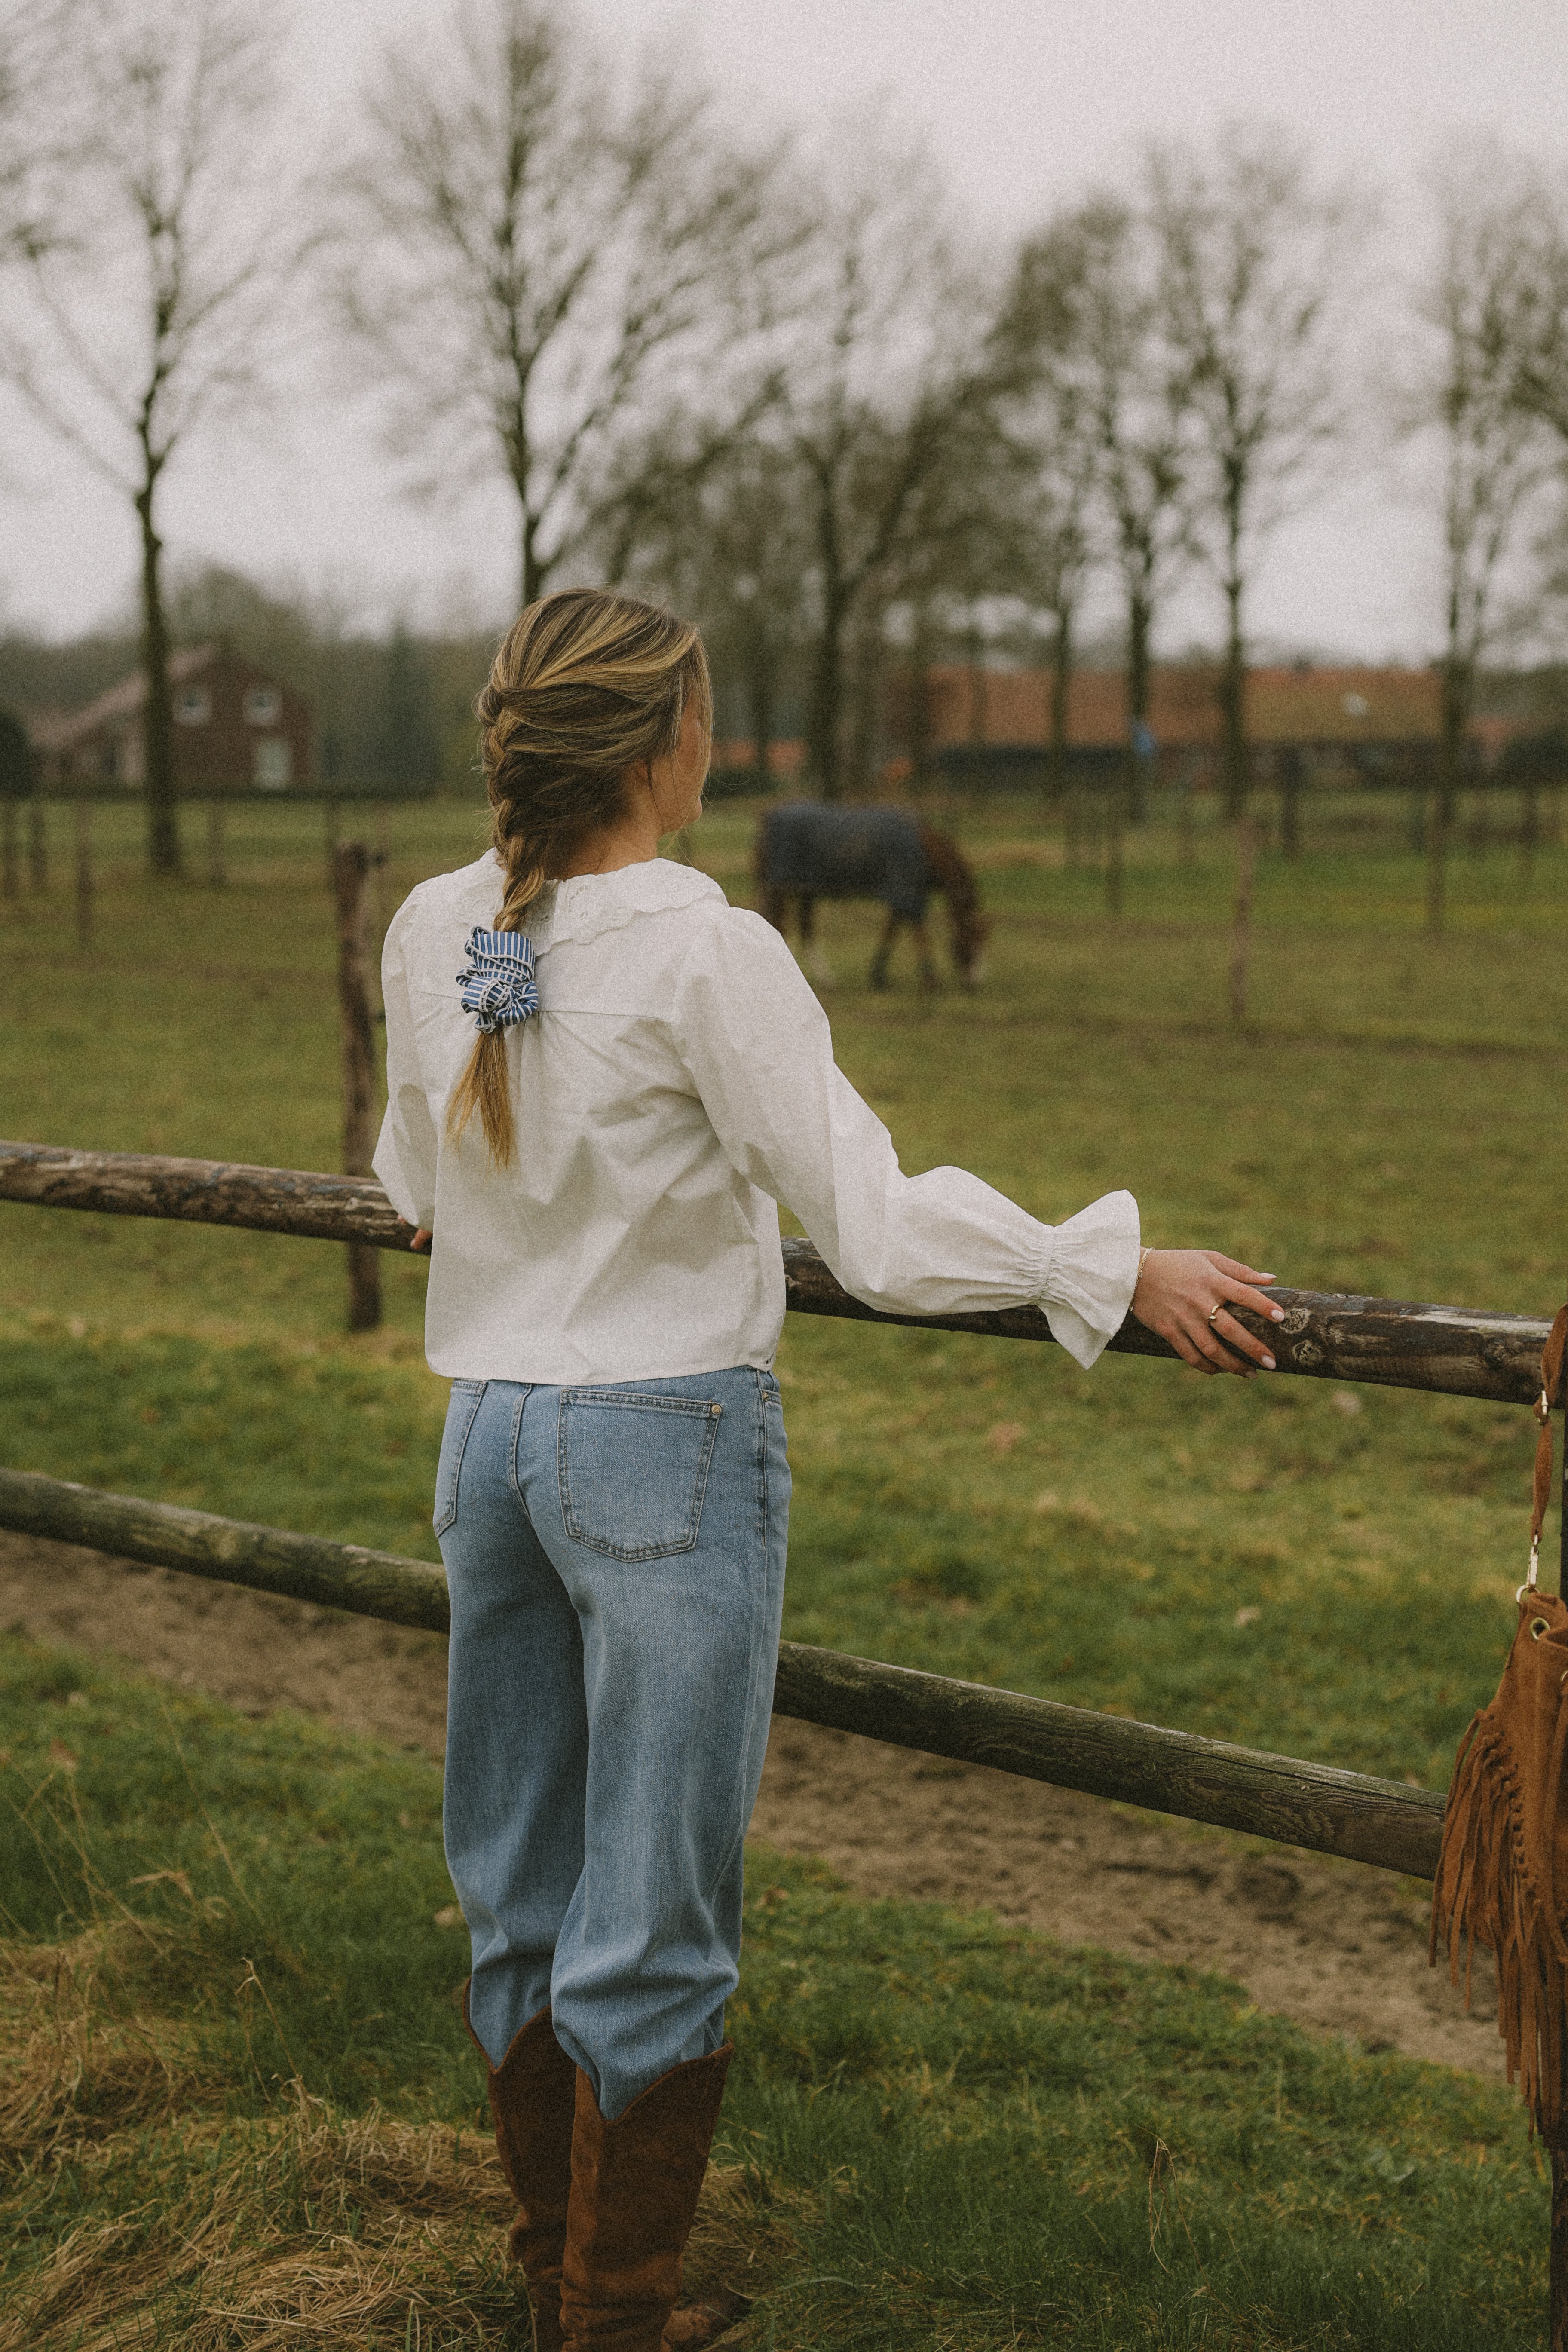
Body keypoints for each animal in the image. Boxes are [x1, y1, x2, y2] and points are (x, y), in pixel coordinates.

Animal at [752, 809, 987, 992]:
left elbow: (892, 929)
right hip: (782, 889)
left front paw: (878, 975)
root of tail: (768, 818)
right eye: (972, 939)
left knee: (800, 929)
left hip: (803, 891)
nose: (975, 983)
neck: (927, 849)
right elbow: (915, 929)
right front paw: (930, 978)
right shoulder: (905, 890)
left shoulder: (901, 893)